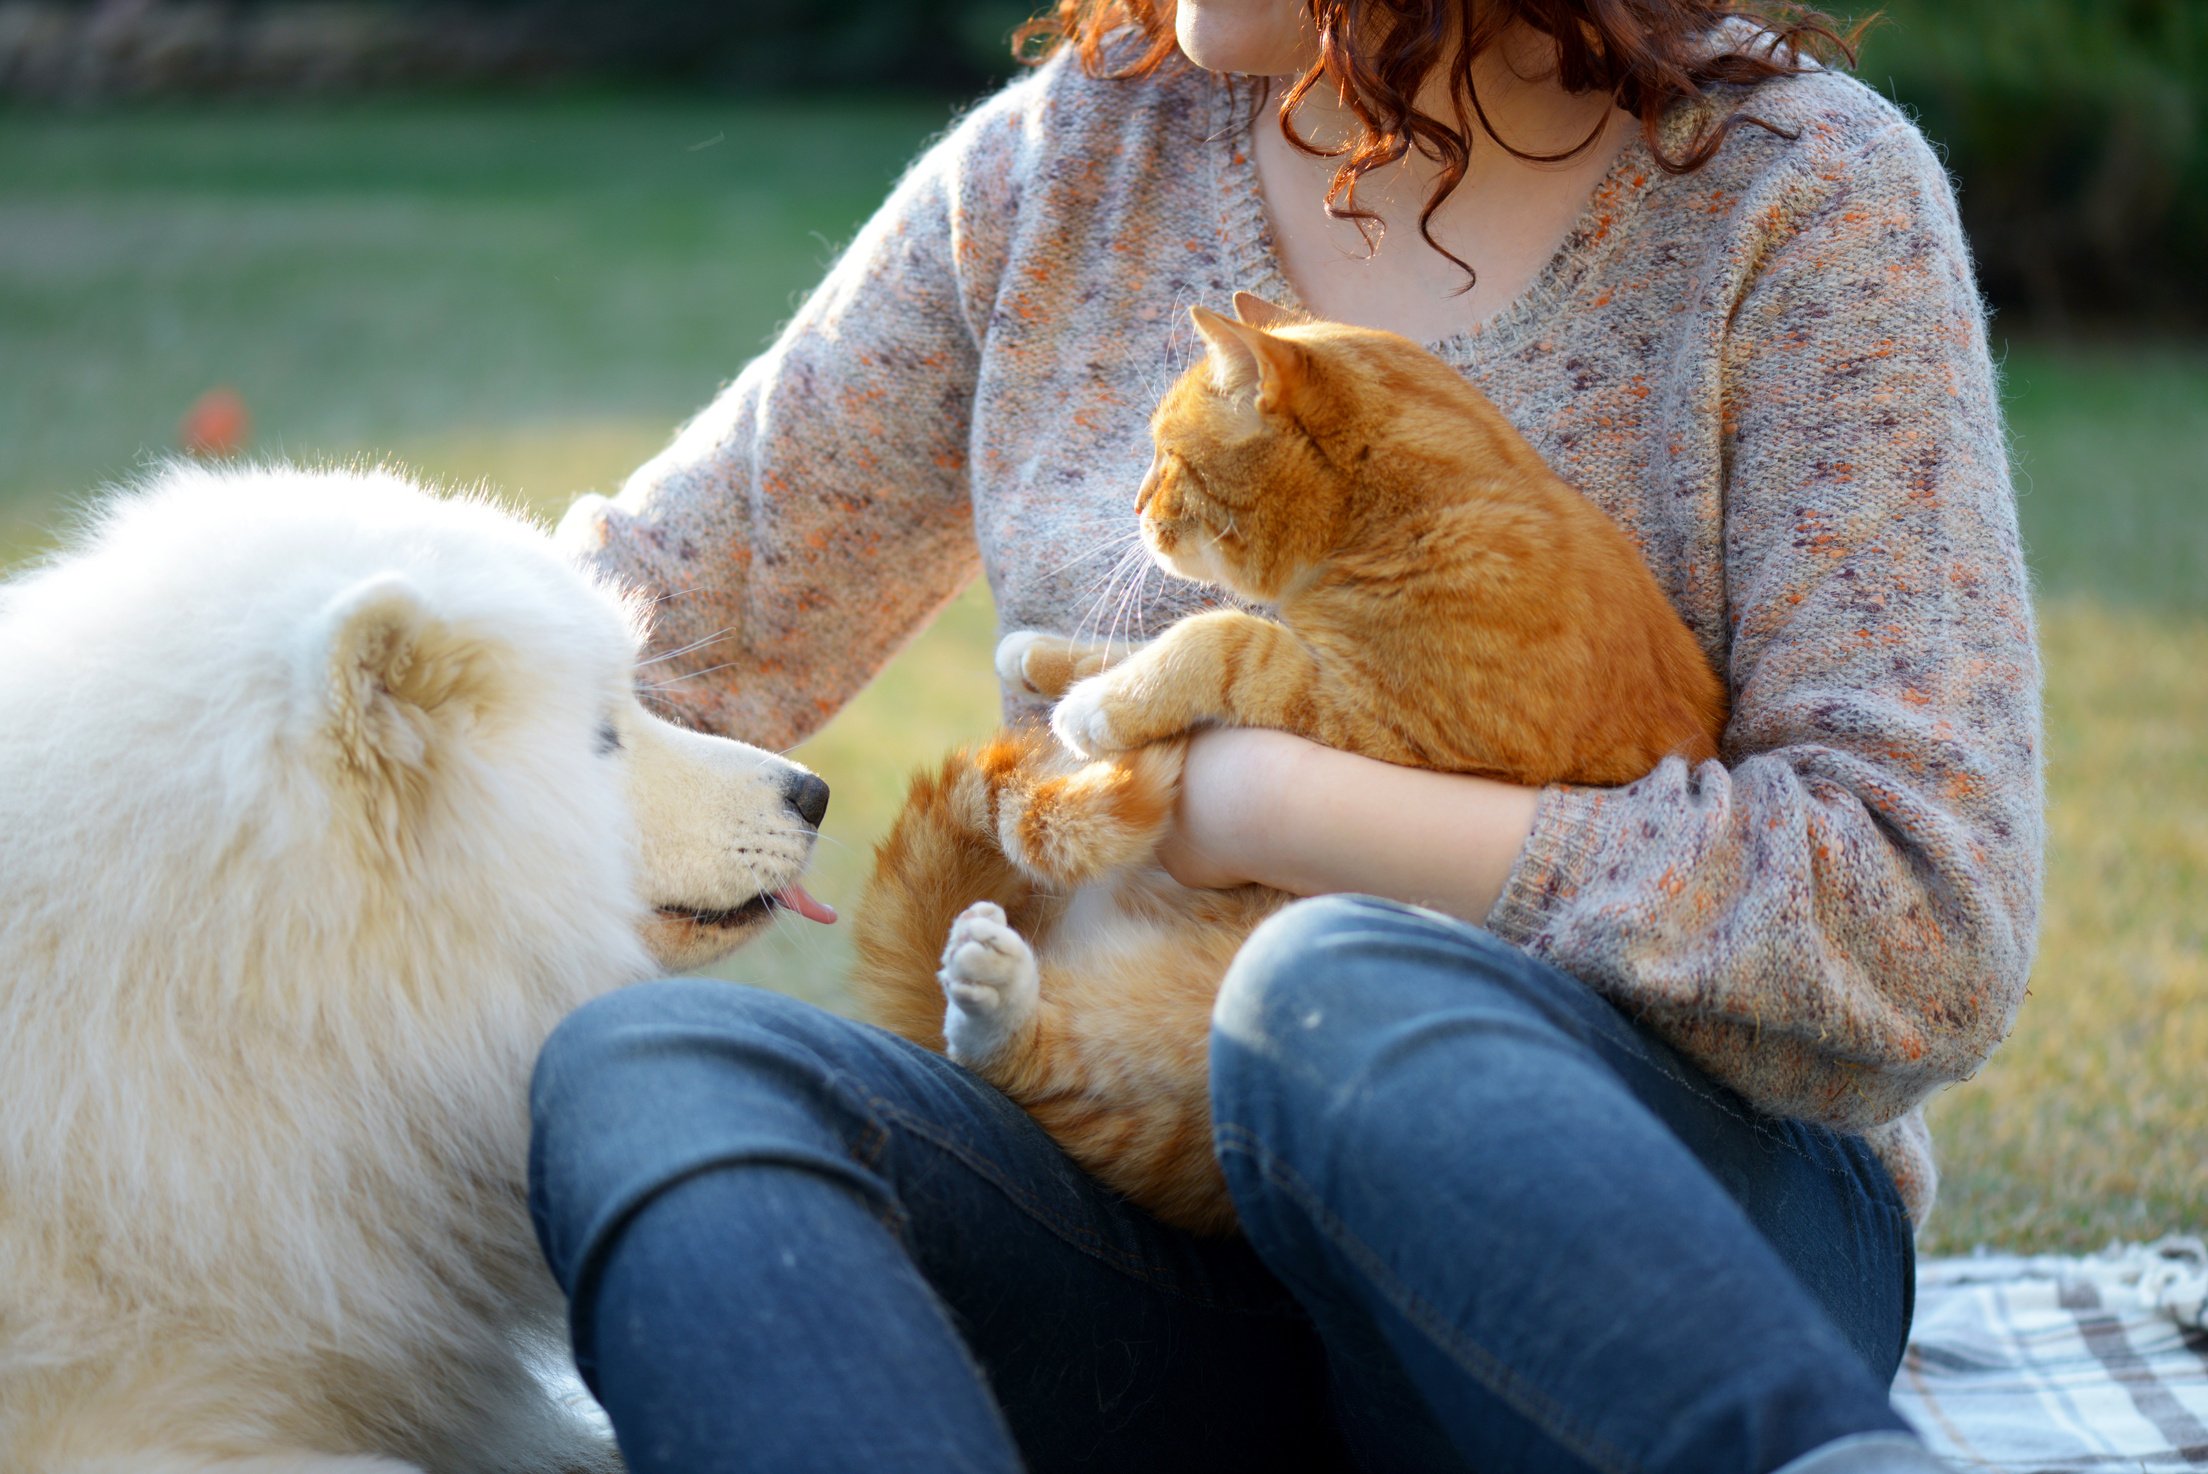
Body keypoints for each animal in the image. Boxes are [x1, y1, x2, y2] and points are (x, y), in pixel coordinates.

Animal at [843, 291, 1722, 1235]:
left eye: (1168, 457)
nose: (1136, 503)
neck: (1421, 513)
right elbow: (1149, 639)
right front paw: (1047, 659)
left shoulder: (1380, 725)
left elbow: (1222, 634)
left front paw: (1097, 709)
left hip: (1211, 1016)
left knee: (1035, 1059)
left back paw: (991, 996)